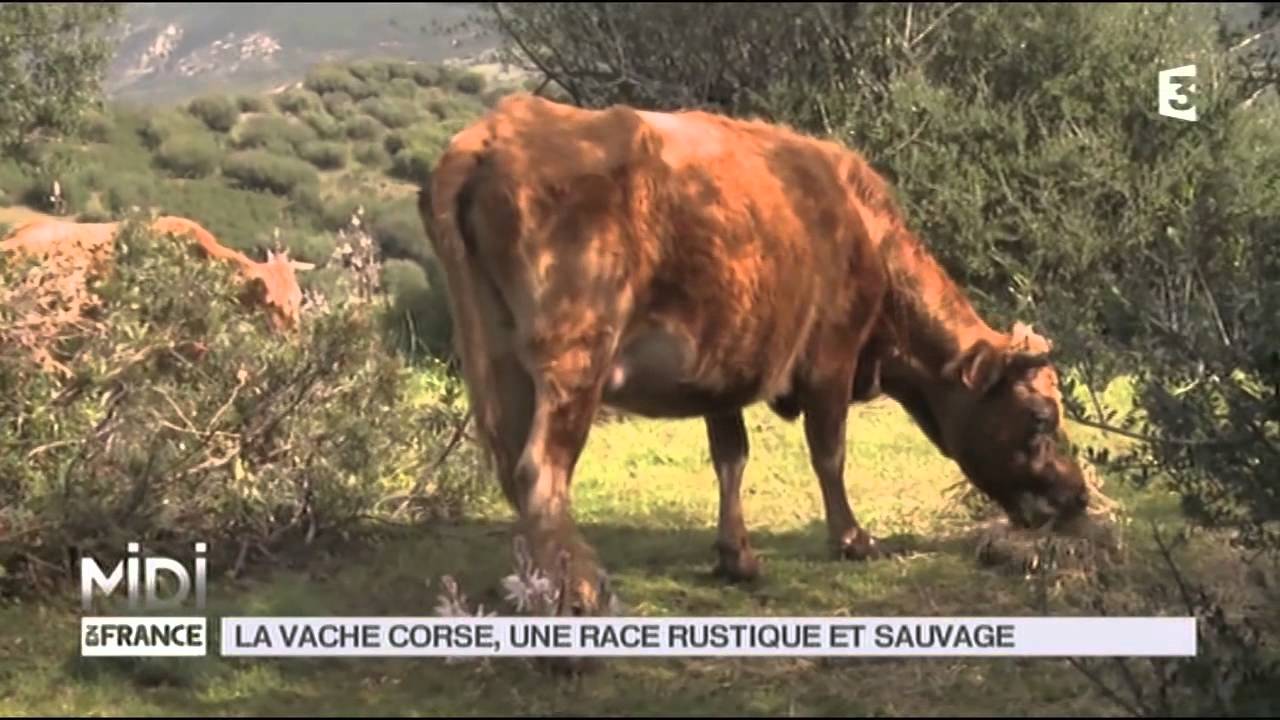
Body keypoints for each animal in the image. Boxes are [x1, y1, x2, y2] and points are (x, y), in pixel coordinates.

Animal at [417, 92, 1091, 616]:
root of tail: (494, 132)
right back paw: (577, 593)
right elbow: (829, 453)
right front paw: (853, 539)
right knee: (541, 470)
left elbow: (730, 457)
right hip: (575, 358)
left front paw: (735, 556)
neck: (862, 226)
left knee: (512, 465)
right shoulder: (832, 356)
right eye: (1039, 419)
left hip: (499, 357)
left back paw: (538, 583)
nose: (1077, 496)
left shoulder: (722, 367)